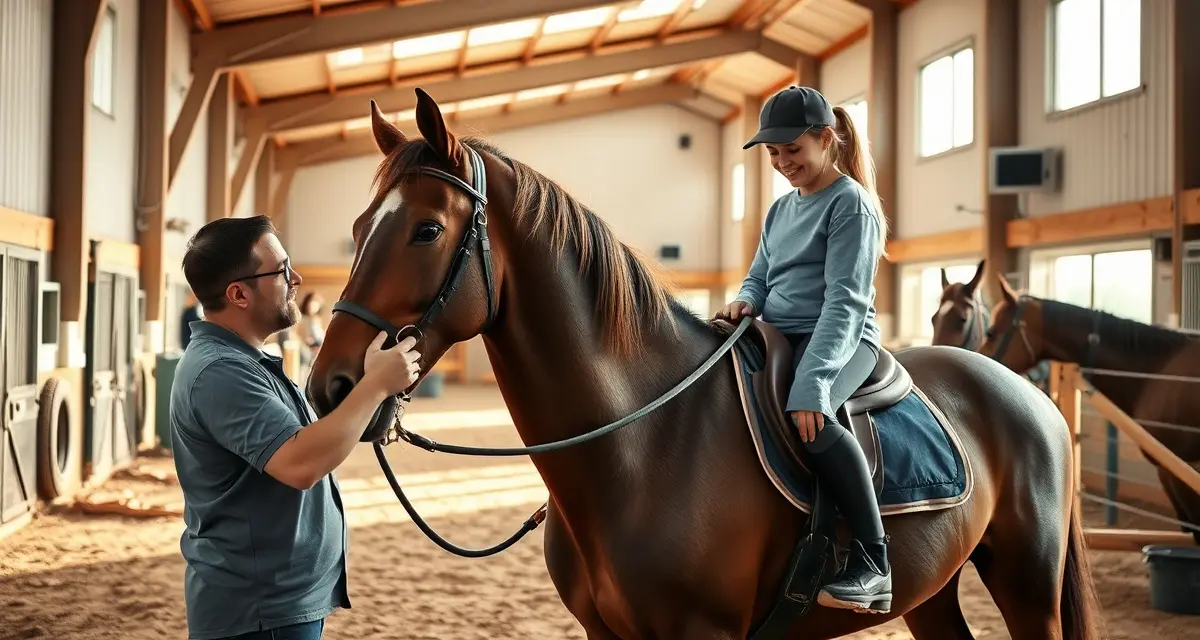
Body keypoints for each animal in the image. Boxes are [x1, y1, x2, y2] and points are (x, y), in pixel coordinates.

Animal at [306, 88, 1103, 639]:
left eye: (426, 229)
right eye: (358, 226)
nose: (332, 385)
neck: (643, 444)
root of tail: (1028, 397)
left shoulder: (703, 631)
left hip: (1027, 588)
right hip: (932, 591)